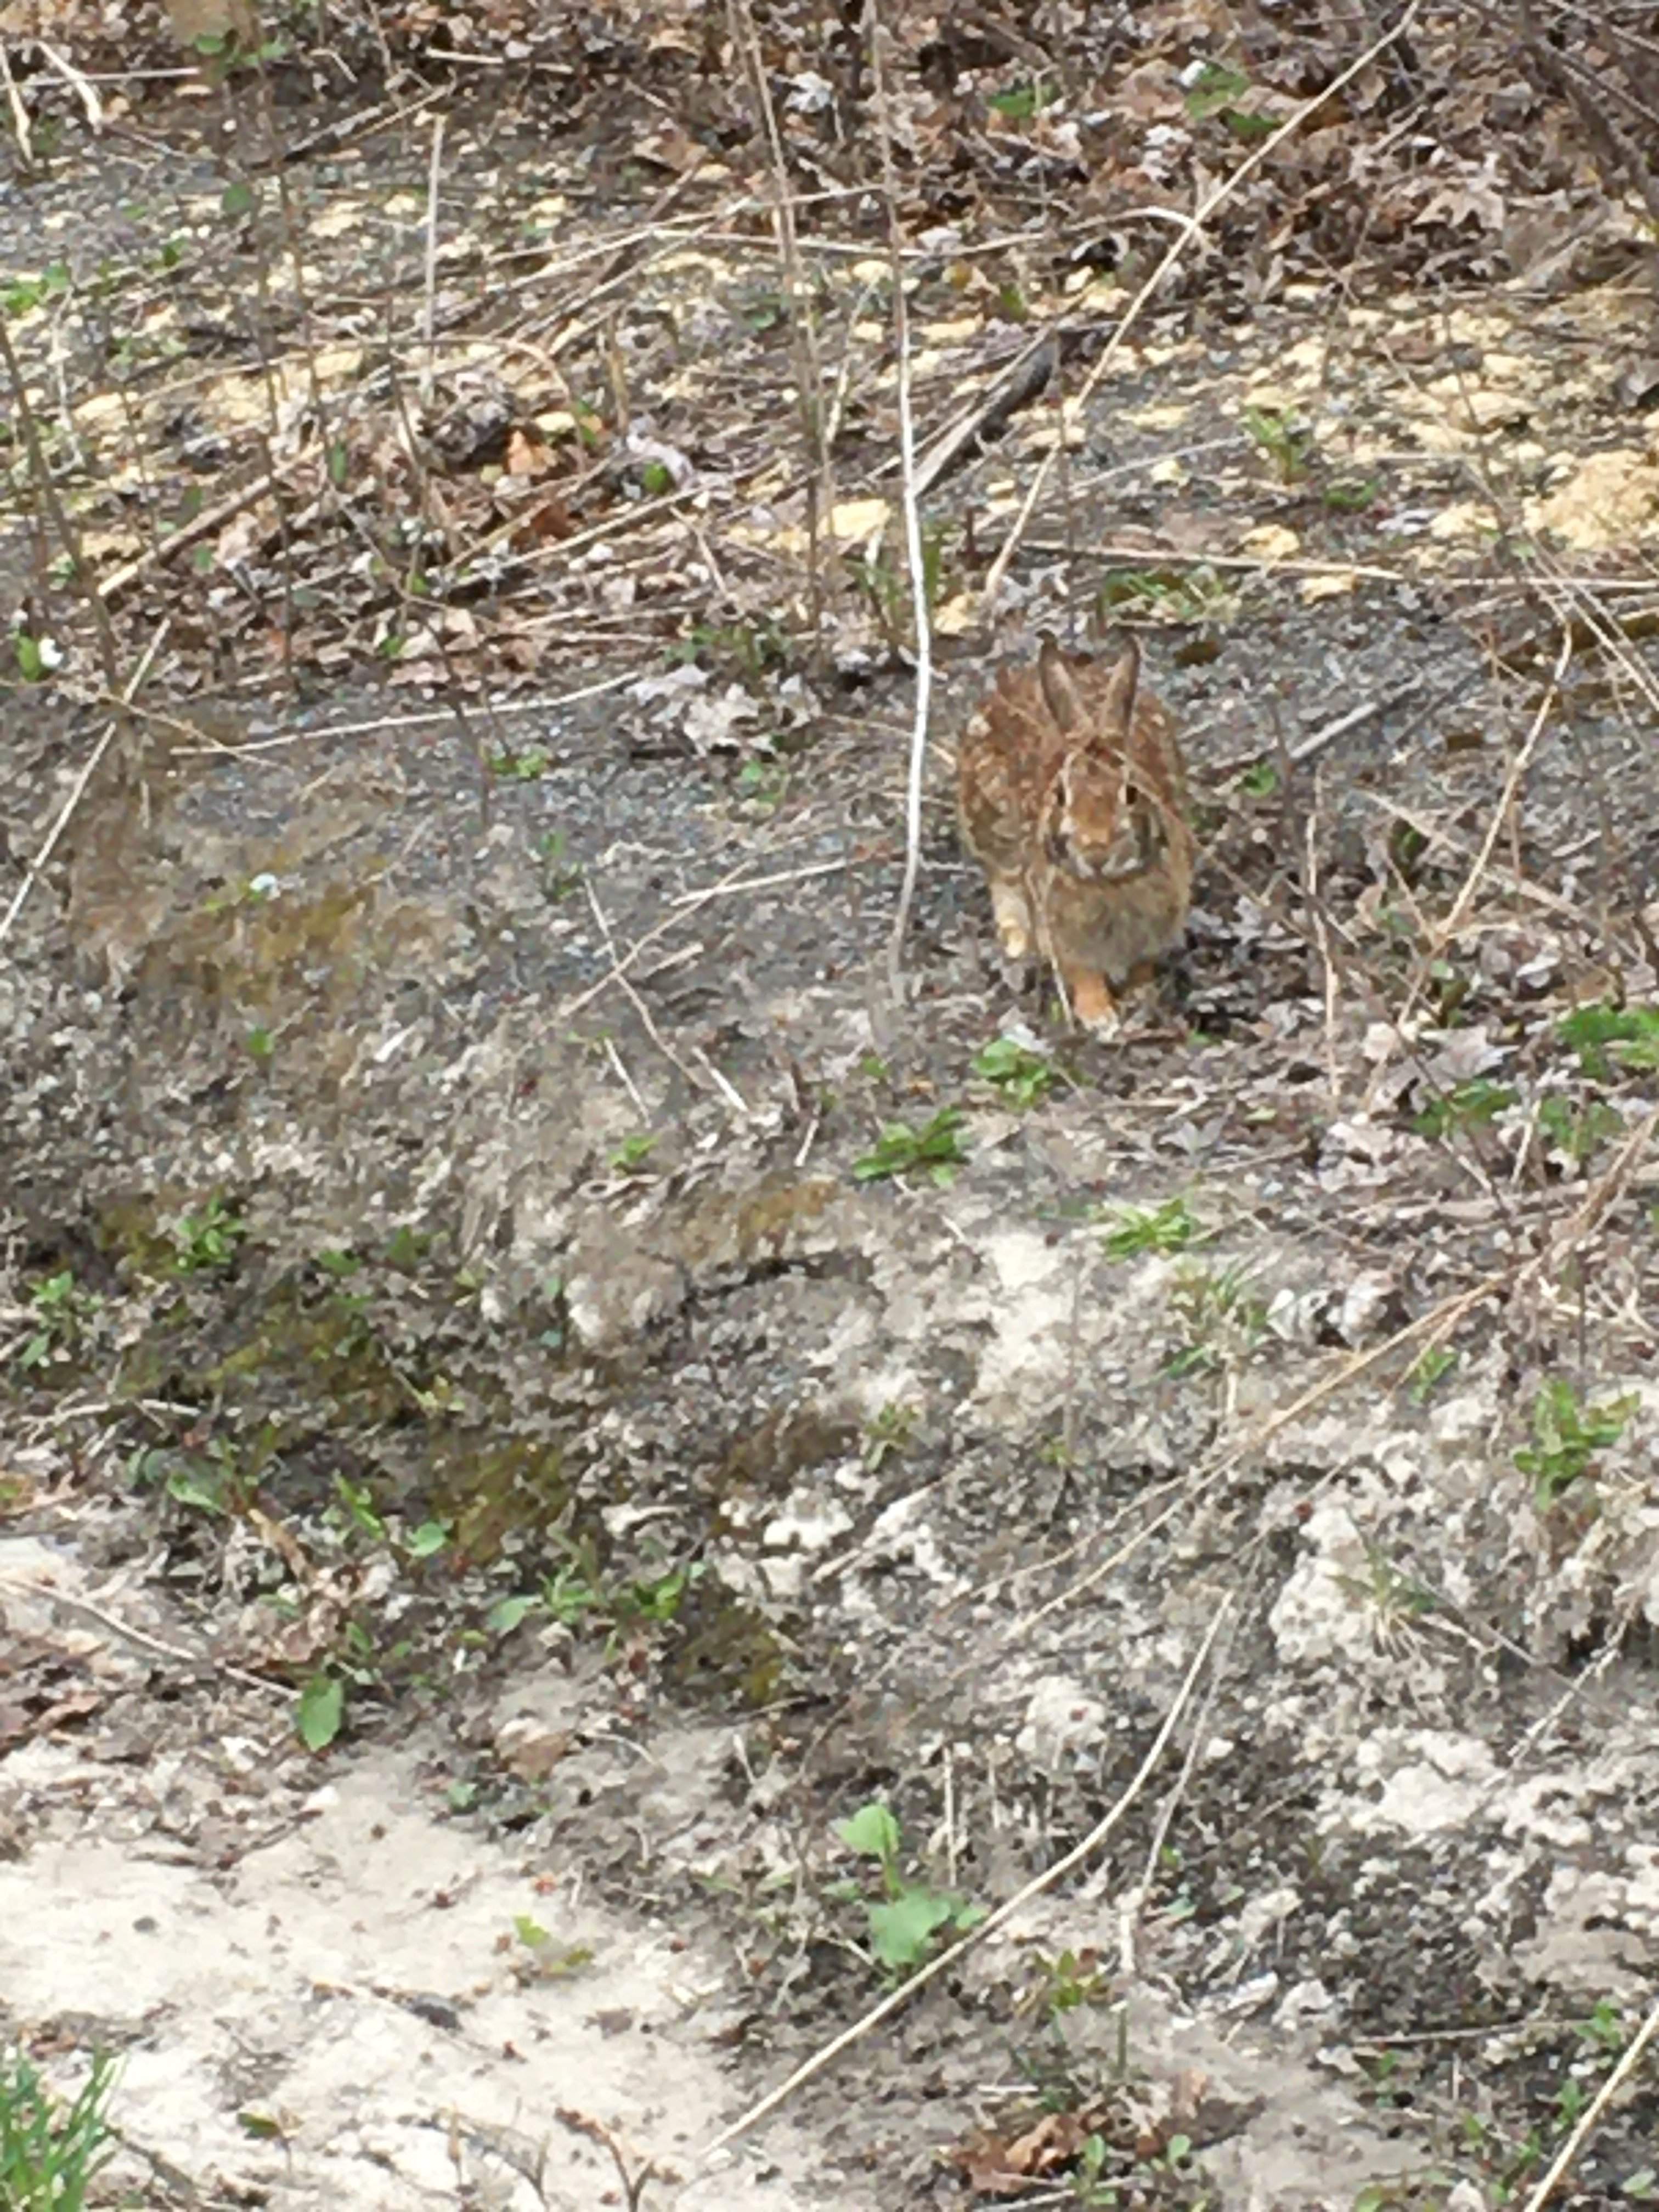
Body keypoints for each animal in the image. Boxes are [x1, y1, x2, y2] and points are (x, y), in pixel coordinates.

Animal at [957, 631, 1194, 1035]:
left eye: (1132, 793)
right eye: (1061, 795)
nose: (1096, 850)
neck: (1108, 884)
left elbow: (1142, 967)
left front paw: (1140, 997)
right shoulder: (1059, 930)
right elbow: (1082, 973)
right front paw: (1099, 1016)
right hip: (990, 834)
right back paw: (1018, 942)